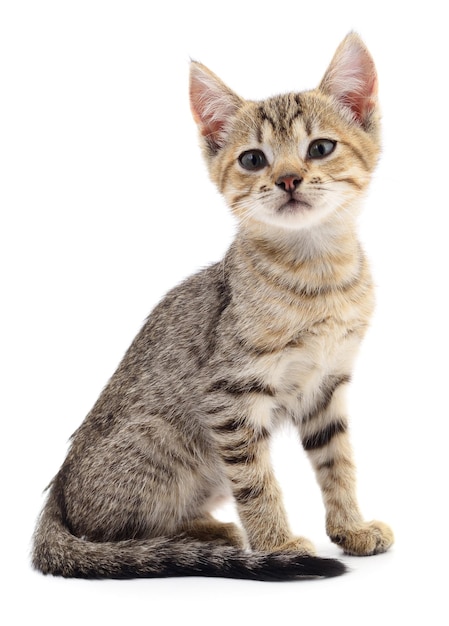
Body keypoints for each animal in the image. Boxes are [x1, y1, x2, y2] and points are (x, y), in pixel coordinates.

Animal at [32, 33, 392, 580]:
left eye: (321, 148)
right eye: (253, 160)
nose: (288, 179)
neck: (317, 275)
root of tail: (58, 489)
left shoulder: (327, 386)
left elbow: (339, 462)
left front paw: (351, 526)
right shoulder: (229, 397)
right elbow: (257, 482)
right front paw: (277, 544)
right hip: (162, 436)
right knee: (112, 538)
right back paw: (205, 539)